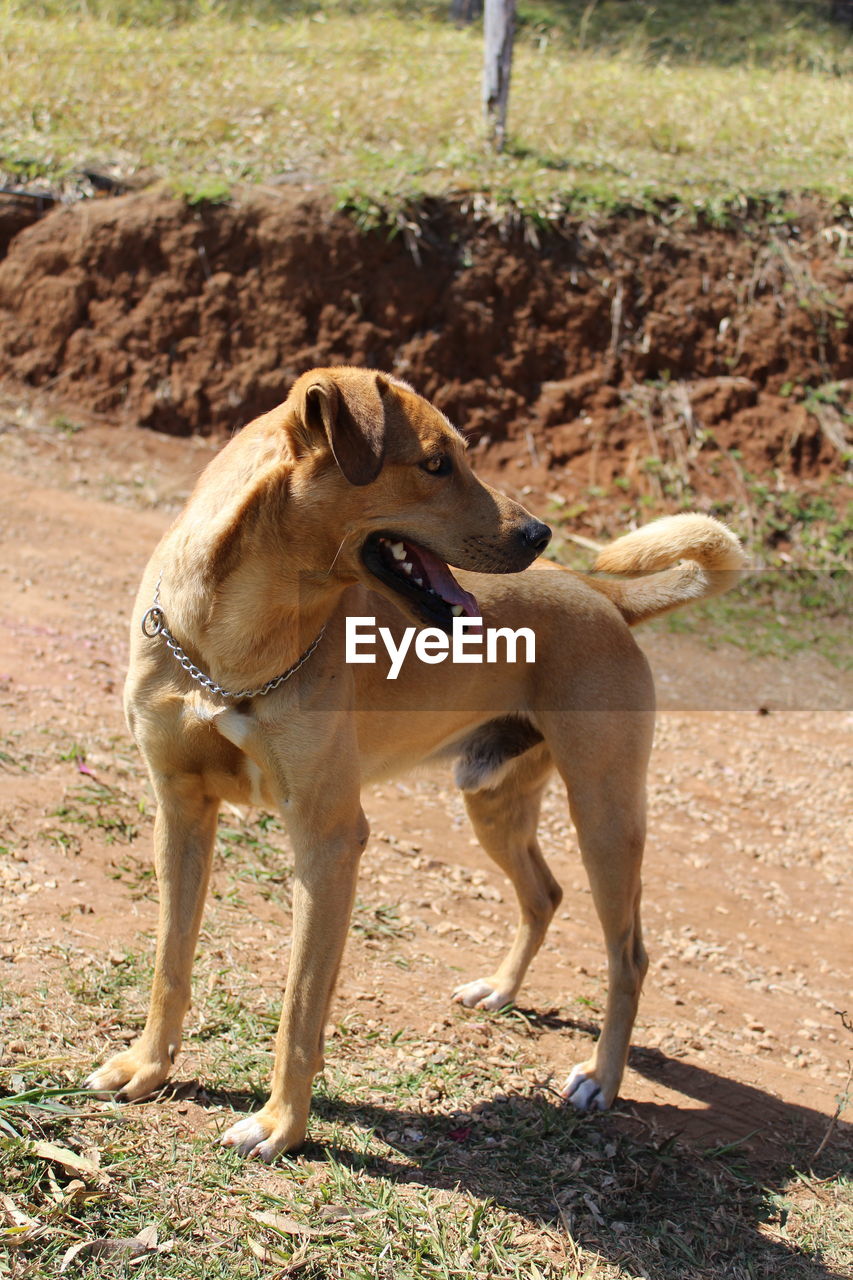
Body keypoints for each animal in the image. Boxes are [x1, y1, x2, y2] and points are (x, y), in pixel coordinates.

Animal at [83, 363, 742, 1162]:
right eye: (435, 464)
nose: (539, 532)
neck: (231, 641)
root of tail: (600, 592)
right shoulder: (180, 813)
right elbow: (169, 964)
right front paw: (146, 1069)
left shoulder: (330, 841)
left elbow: (299, 1009)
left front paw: (280, 1125)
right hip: (492, 800)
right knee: (543, 894)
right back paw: (500, 991)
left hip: (605, 817)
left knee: (629, 956)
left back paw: (600, 1080)